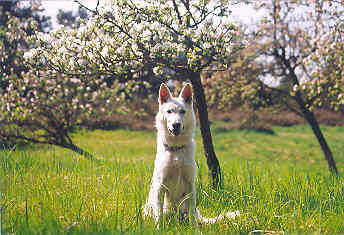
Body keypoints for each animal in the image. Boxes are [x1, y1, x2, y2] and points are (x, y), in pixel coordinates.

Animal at [143, 82, 239, 224]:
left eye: (182, 111)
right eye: (169, 111)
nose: (176, 125)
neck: (176, 149)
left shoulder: (190, 185)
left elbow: (192, 216)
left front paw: (194, 228)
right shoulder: (160, 186)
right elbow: (159, 216)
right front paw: (159, 227)